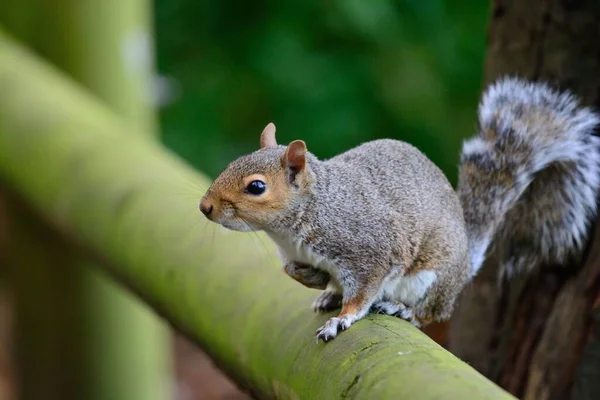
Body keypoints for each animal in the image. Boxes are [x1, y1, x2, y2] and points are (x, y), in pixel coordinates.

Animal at [198, 77, 600, 340]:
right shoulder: (295, 254)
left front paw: (342, 319)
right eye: (234, 162)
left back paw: (402, 309)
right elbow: (290, 271)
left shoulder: (369, 252)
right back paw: (330, 293)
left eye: (256, 187)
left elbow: (362, 293)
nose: (205, 206)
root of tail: (464, 260)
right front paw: (313, 280)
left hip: (433, 279)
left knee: (432, 313)